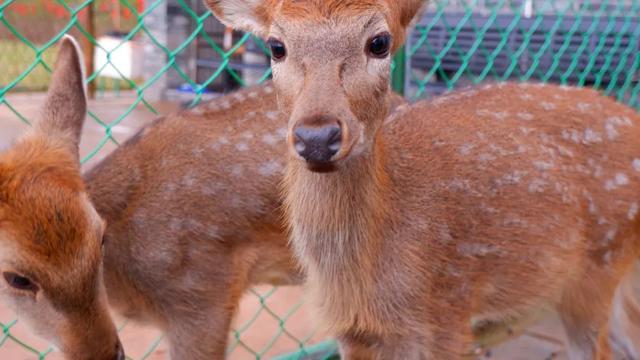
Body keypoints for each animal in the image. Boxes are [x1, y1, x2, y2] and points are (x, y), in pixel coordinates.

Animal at [209, 1, 640, 358]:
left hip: (599, 266)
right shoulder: (354, 332)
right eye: (276, 46)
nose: (317, 137)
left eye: (379, 42)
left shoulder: (448, 309)